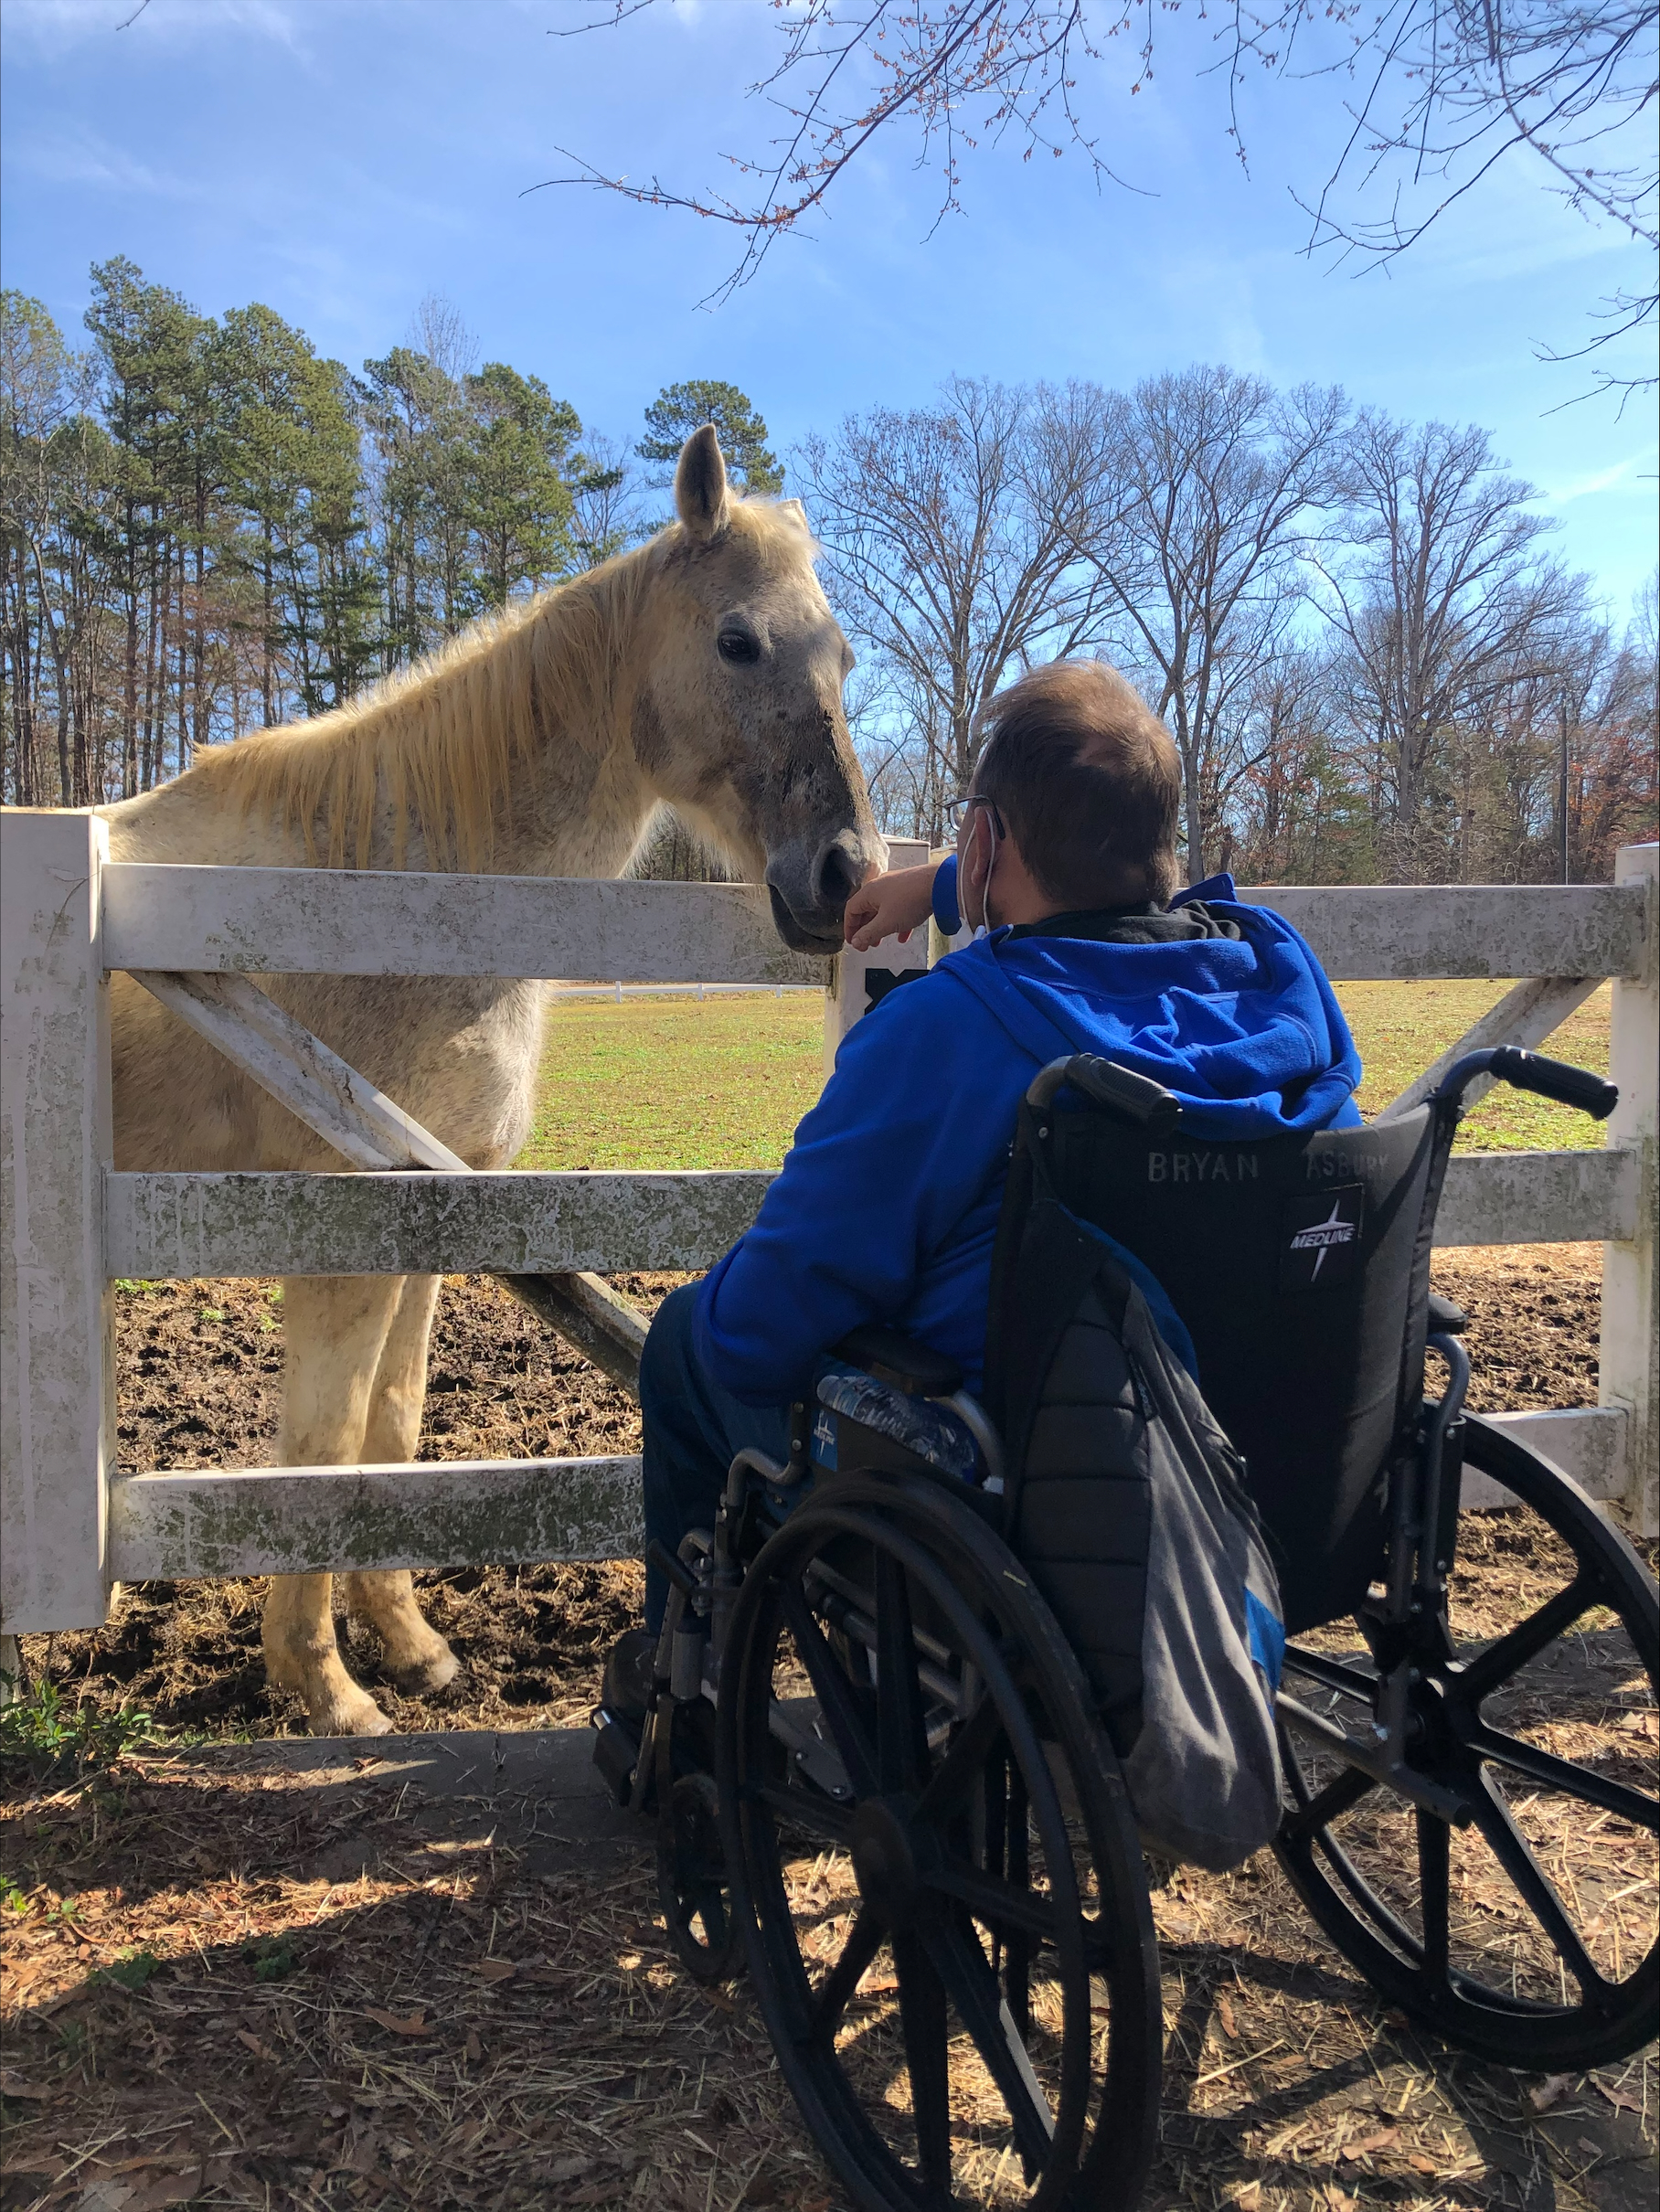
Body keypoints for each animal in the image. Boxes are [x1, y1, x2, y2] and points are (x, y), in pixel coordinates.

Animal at [100, 427, 883, 1735]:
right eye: (737, 640)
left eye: (843, 655)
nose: (847, 875)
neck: (403, 887)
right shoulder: (341, 1229)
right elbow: (322, 1447)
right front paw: (326, 1688)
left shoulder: (441, 1199)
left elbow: (394, 1424)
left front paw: (409, 1647)